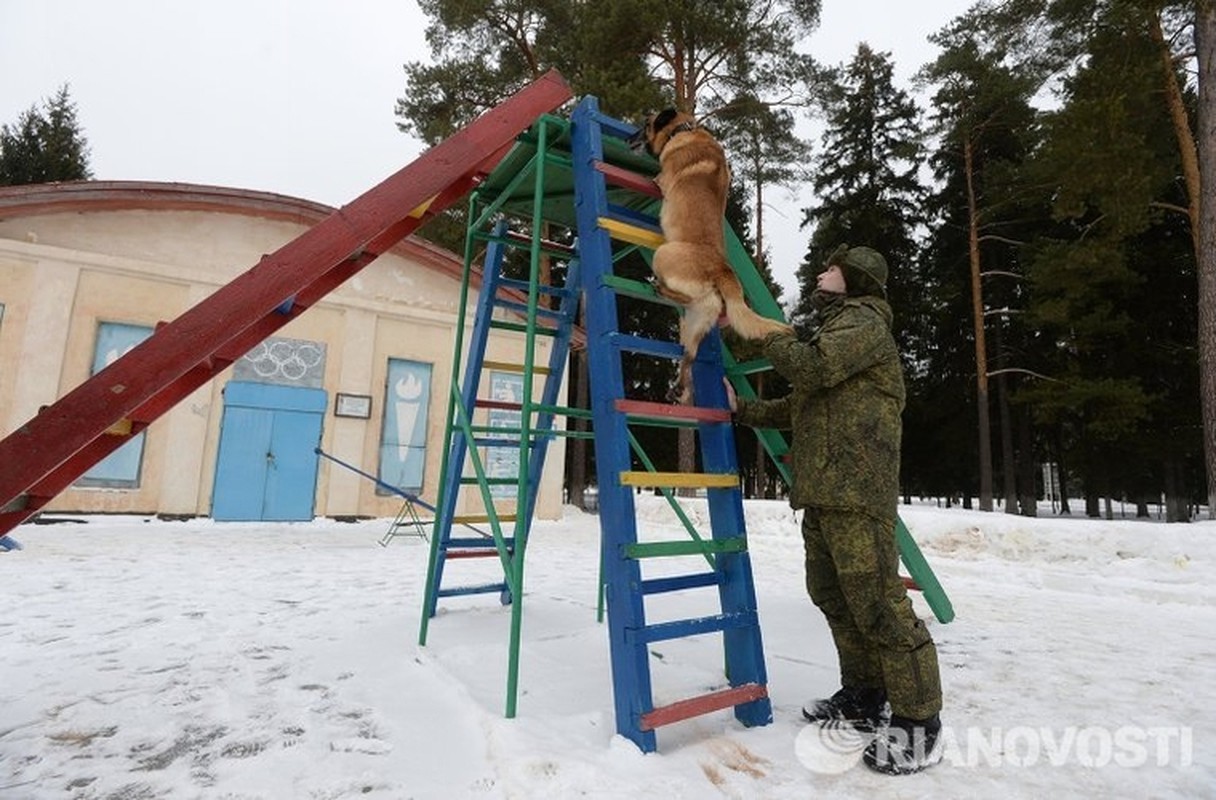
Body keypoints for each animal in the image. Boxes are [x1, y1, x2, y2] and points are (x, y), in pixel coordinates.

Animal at [632, 107, 792, 406]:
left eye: (645, 124)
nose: (629, 139)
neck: (683, 130)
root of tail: (722, 269)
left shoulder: (660, 179)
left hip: (664, 254)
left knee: (682, 299)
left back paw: (660, 288)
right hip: (696, 321)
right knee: (690, 354)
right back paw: (679, 388)